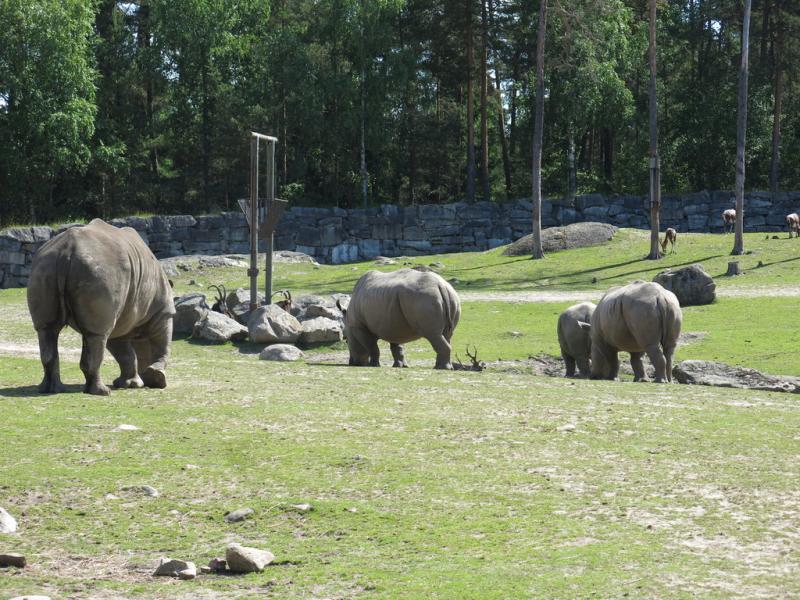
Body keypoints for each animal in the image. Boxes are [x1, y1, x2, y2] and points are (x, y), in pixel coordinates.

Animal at [27, 219, 175, 395]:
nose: (149, 383)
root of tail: (66, 250)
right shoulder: (163, 312)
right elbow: (161, 344)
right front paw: (157, 379)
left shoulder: (120, 321)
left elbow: (126, 354)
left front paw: (130, 384)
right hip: (101, 271)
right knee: (97, 335)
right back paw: (103, 392)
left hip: (44, 267)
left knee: (47, 330)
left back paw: (51, 389)